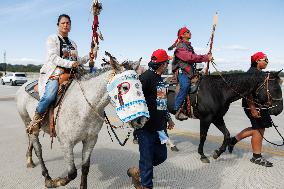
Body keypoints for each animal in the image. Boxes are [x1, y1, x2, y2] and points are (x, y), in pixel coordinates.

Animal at [16, 52, 144, 188]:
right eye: (125, 87)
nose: (141, 120)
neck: (83, 107)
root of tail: (23, 86)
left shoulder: (90, 140)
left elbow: (85, 168)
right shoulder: (66, 143)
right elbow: (72, 173)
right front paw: (58, 181)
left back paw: (29, 160)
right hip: (28, 121)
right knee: (38, 148)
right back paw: (48, 178)